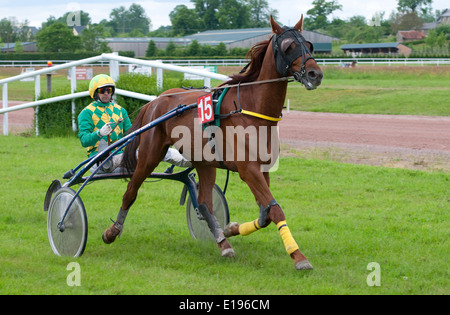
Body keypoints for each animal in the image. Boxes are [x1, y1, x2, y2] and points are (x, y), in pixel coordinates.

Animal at [102, 15, 322, 272]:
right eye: (289, 46)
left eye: (309, 45)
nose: (315, 74)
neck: (252, 109)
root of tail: (156, 100)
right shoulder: (249, 170)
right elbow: (275, 210)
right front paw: (298, 257)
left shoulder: (263, 168)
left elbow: (265, 213)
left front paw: (231, 228)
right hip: (149, 154)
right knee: (131, 191)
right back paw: (112, 231)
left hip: (204, 162)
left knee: (205, 203)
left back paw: (223, 243)